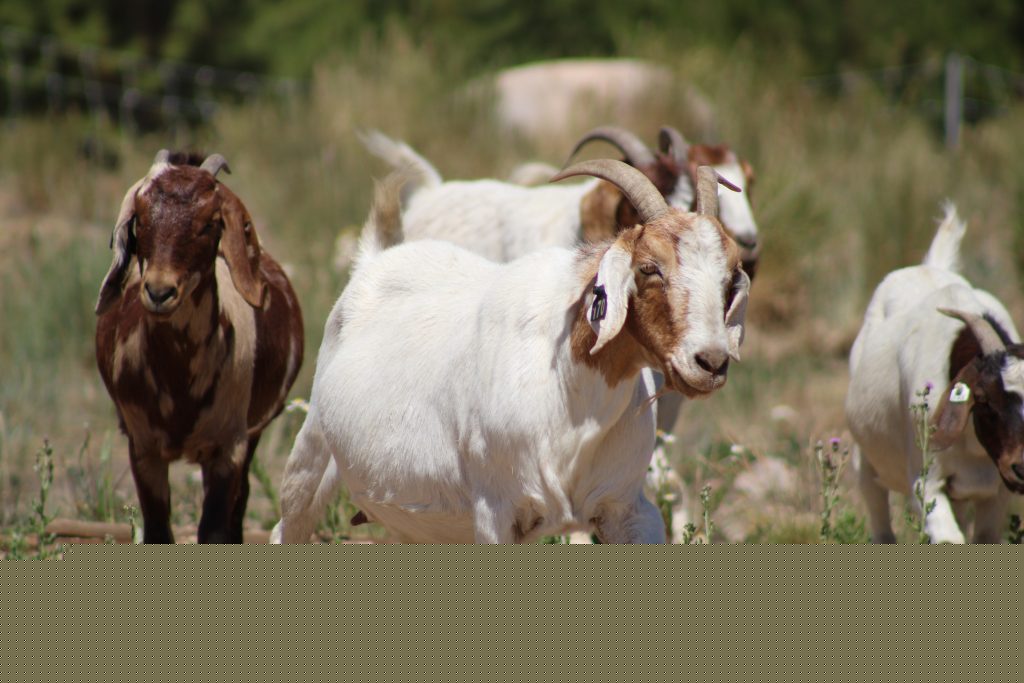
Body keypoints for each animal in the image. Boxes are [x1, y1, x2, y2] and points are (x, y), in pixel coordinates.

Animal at [95, 149, 304, 543]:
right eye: (141, 218)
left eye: (209, 224)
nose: (159, 292)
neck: (180, 382)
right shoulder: (143, 448)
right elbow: (158, 531)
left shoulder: (230, 447)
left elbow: (215, 530)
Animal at [271, 160, 749, 544]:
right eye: (649, 268)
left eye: (730, 277)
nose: (710, 362)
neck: (569, 390)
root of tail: (374, 260)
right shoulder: (496, 510)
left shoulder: (625, 506)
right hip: (312, 448)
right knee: (287, 524)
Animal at [846, 203, 1024, 543]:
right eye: (983, 398)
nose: (1022, 467)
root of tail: (927, 267)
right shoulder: (926, 483)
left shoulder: (996, 492)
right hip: (866, 461)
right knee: (878, 516)